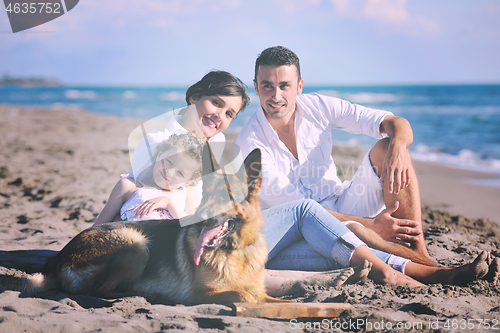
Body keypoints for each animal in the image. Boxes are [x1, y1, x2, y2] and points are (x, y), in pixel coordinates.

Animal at [6, 147, 286, 306]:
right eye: (205, 194)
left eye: (226, 196)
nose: (198, 219)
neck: (235, 251)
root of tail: (58, 257)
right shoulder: (200, 294)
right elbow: (243, 295)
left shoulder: (263, 293)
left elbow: (272, 298)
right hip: (136, 243)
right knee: (98, 290)